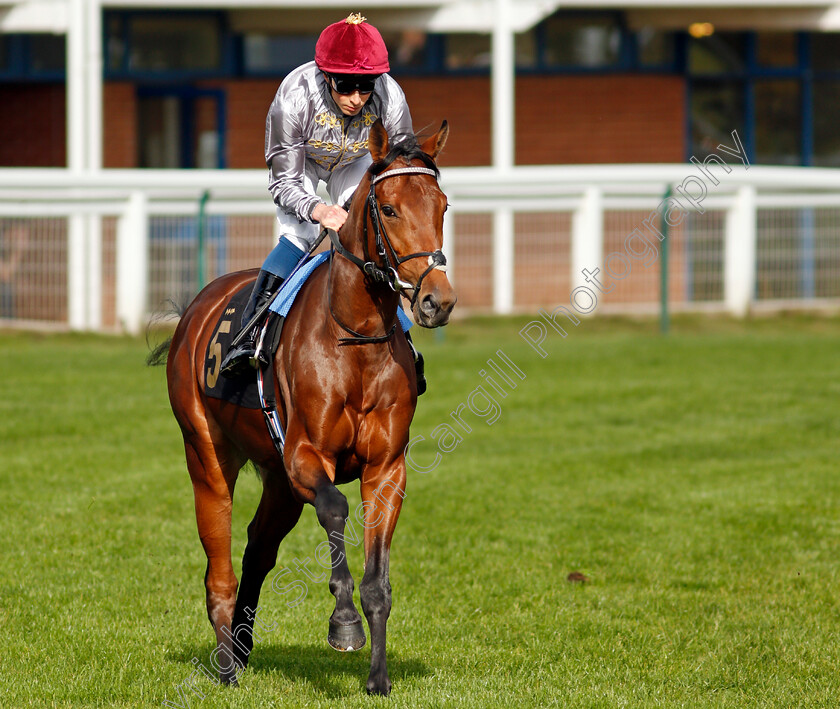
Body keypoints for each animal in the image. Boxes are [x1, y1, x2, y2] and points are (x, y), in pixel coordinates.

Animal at [161, 119, 456, 696]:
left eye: (442, 205)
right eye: (390, 210)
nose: (438, 300)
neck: (355, 338)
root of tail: (198, 307)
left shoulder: (385, 469)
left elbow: (378, 582)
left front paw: (378, 678)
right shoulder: (305, 456)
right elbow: (336, 509)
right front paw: (343, 624)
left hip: (278, 481)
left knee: (257, 549)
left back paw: (242, 650)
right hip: (207, 457)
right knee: (220, 571)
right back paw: (226, 670)